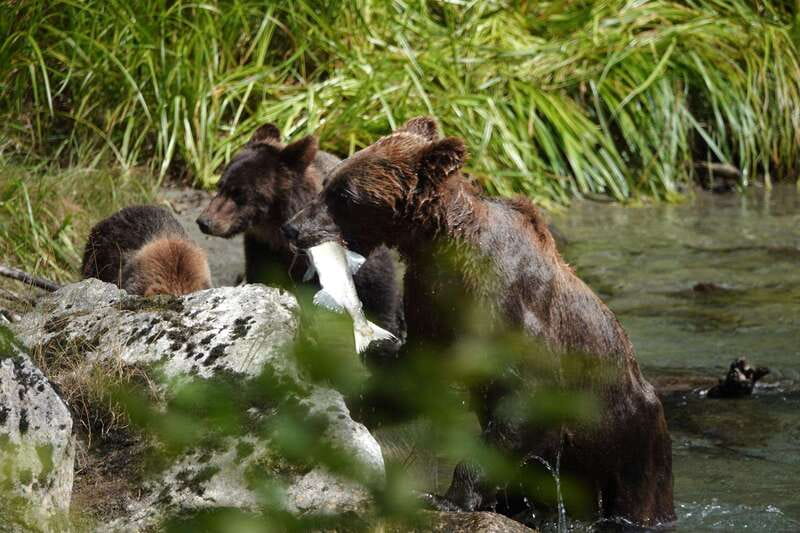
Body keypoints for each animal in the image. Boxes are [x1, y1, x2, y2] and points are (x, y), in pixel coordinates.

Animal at [280, 117, 675, 527]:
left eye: (345, 194)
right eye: (329, 182)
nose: (292, 228)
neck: (442, 246)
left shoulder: (511, 312)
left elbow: (524, 401)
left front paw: (445, 497)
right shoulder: (431, 300)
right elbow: (417, 374)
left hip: (628, 441)